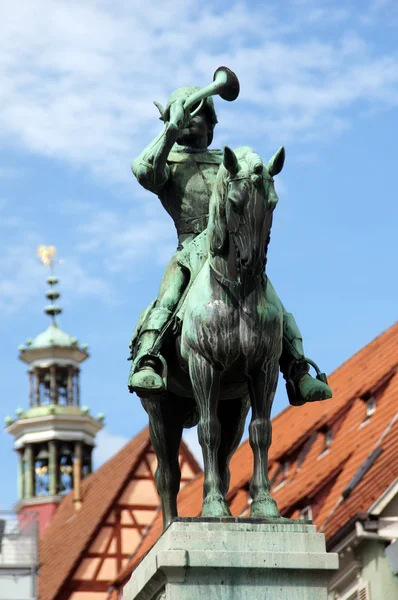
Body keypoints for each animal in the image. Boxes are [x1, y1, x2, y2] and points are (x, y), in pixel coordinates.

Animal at [140, 145, 286, 528]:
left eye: (273, 202)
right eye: (234, 202)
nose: (253, 264)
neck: (237, 293)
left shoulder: (264, 369)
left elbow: (262, 431)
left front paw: (265, 505)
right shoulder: (204, 366)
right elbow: (208, 430)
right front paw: (214, 506)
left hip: (234, 405)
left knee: (223, 459)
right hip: (161, 412)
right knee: (167, 475)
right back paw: (170, 524)